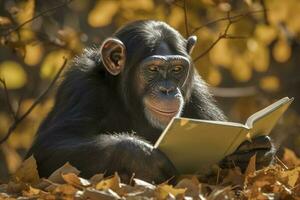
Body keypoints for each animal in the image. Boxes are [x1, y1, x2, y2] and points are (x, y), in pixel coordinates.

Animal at [26, 19, 276, 183]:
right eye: (153, 69)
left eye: (177, 69)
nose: (168, 89)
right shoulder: (81, 84)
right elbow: (50, 146)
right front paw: (142, 156)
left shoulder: (197, 92)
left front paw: (254, 151)